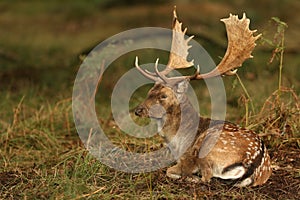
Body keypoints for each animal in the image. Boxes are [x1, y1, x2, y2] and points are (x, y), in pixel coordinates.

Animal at [134, 7, 272, 186]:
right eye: (150, 91)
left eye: (164, 96)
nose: (138, 110)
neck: (176, 142)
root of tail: (255, 162)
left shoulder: (186, 158)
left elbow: (170, 170)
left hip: (206, 145)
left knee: (207, 176)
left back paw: (192, 177)